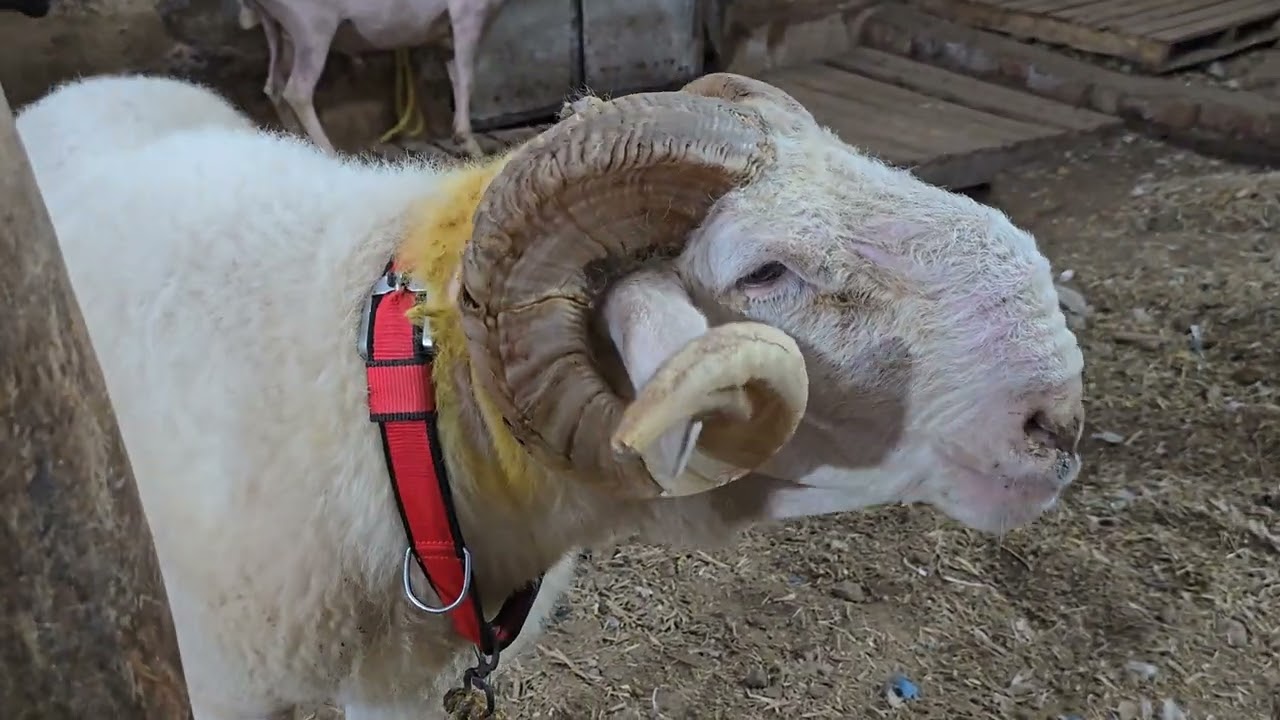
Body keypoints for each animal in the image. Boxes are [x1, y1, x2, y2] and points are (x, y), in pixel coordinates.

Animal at [233, 0, 506, 157]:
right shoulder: (468, 12)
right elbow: (467, 78)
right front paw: (473, 149)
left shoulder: (445, 34)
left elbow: (457, 77)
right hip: (311, 27)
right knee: (298, 90)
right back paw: (331, 154)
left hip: (279, 28)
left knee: (274, 87)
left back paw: (299, 142)